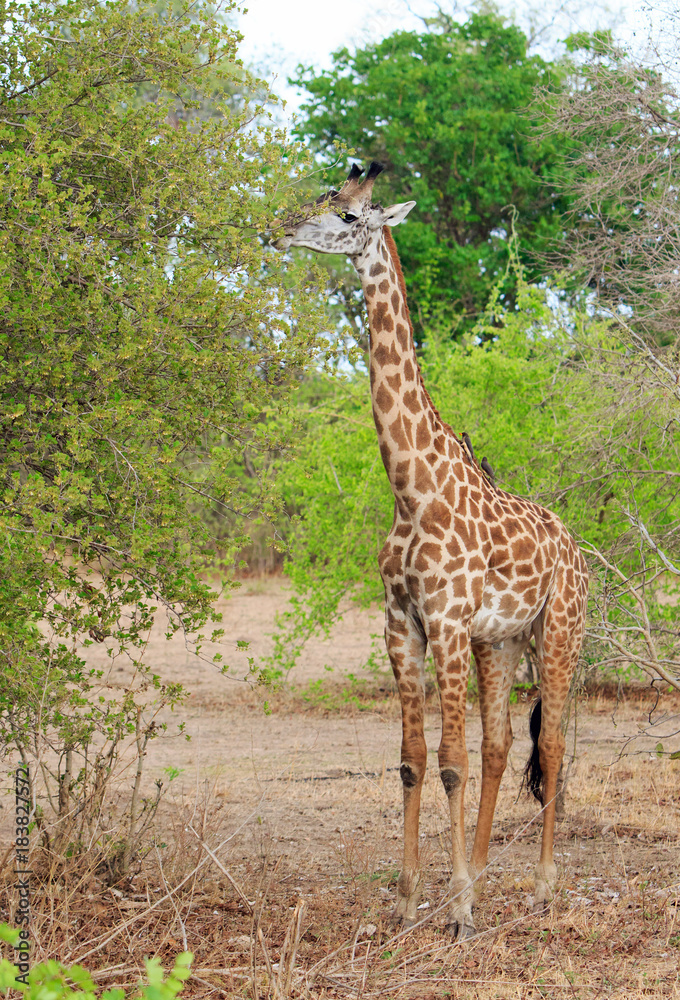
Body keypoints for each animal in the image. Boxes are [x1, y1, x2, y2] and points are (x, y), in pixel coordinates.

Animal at [275, 162, 589, 938]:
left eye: (350, 215)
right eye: (324, 196)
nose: (282, 229)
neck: (410, 489)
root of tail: (576, 548)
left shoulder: (445, 621)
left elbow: (449, 761)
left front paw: (459, 909)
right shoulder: (402, 624)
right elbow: (414, 760)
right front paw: (417, 897)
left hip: (559, 631)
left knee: (553, 744)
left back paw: (541, 887)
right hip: (501, 641)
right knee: (502, 746)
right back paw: (479, 872)